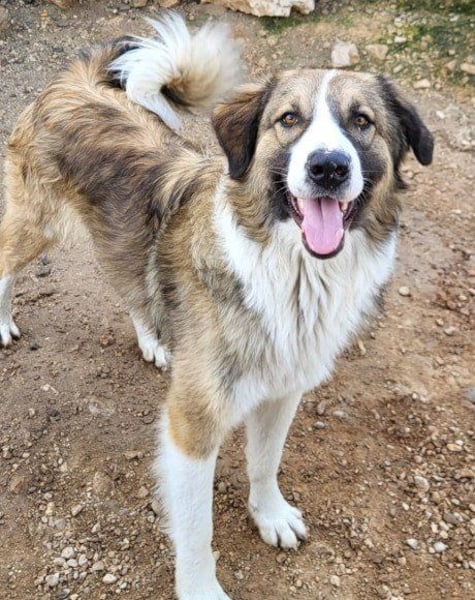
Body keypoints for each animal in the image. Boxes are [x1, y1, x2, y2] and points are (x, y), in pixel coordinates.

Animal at [0, 13, 433, 600]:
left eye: (361, 122)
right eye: (288, 120)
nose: (328, 167)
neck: (292, 273)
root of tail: (75, 79)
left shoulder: (283, 391)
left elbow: (265, 463)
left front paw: (269, 514)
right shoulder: (191, 424)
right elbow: (196, 529)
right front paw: (201, 587)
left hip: (117, 237)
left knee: (128, 281)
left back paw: (153, 338)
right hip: (35, 223)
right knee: (6, 261)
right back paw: (3, 321)